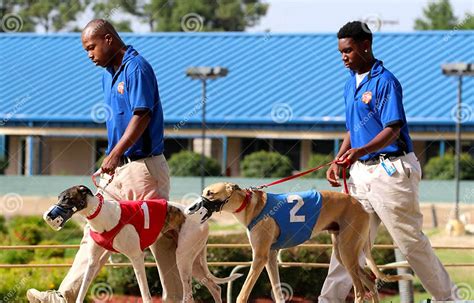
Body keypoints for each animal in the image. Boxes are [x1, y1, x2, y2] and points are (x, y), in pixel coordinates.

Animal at [44, 185, 241, 303]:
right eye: (60, 197)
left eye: (67, 198)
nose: (48, 215)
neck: (101, 215)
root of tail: (204, 221)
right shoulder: (92, 262)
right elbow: (83, 286)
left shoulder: (136, 257)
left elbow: (145, 292)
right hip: (192, 262)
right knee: (215, 286)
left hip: (183, 259)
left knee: (190, 295)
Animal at [185, 183, 412, 303]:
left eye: (210, 193)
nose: (191, 208)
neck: (250, 205)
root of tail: (361, 205)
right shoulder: (270, 258)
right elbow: (277, 291)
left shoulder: (259, 258)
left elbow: (243, 293)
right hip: (344, 254)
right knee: (370, 282)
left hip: (347, 253)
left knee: (359, 290)